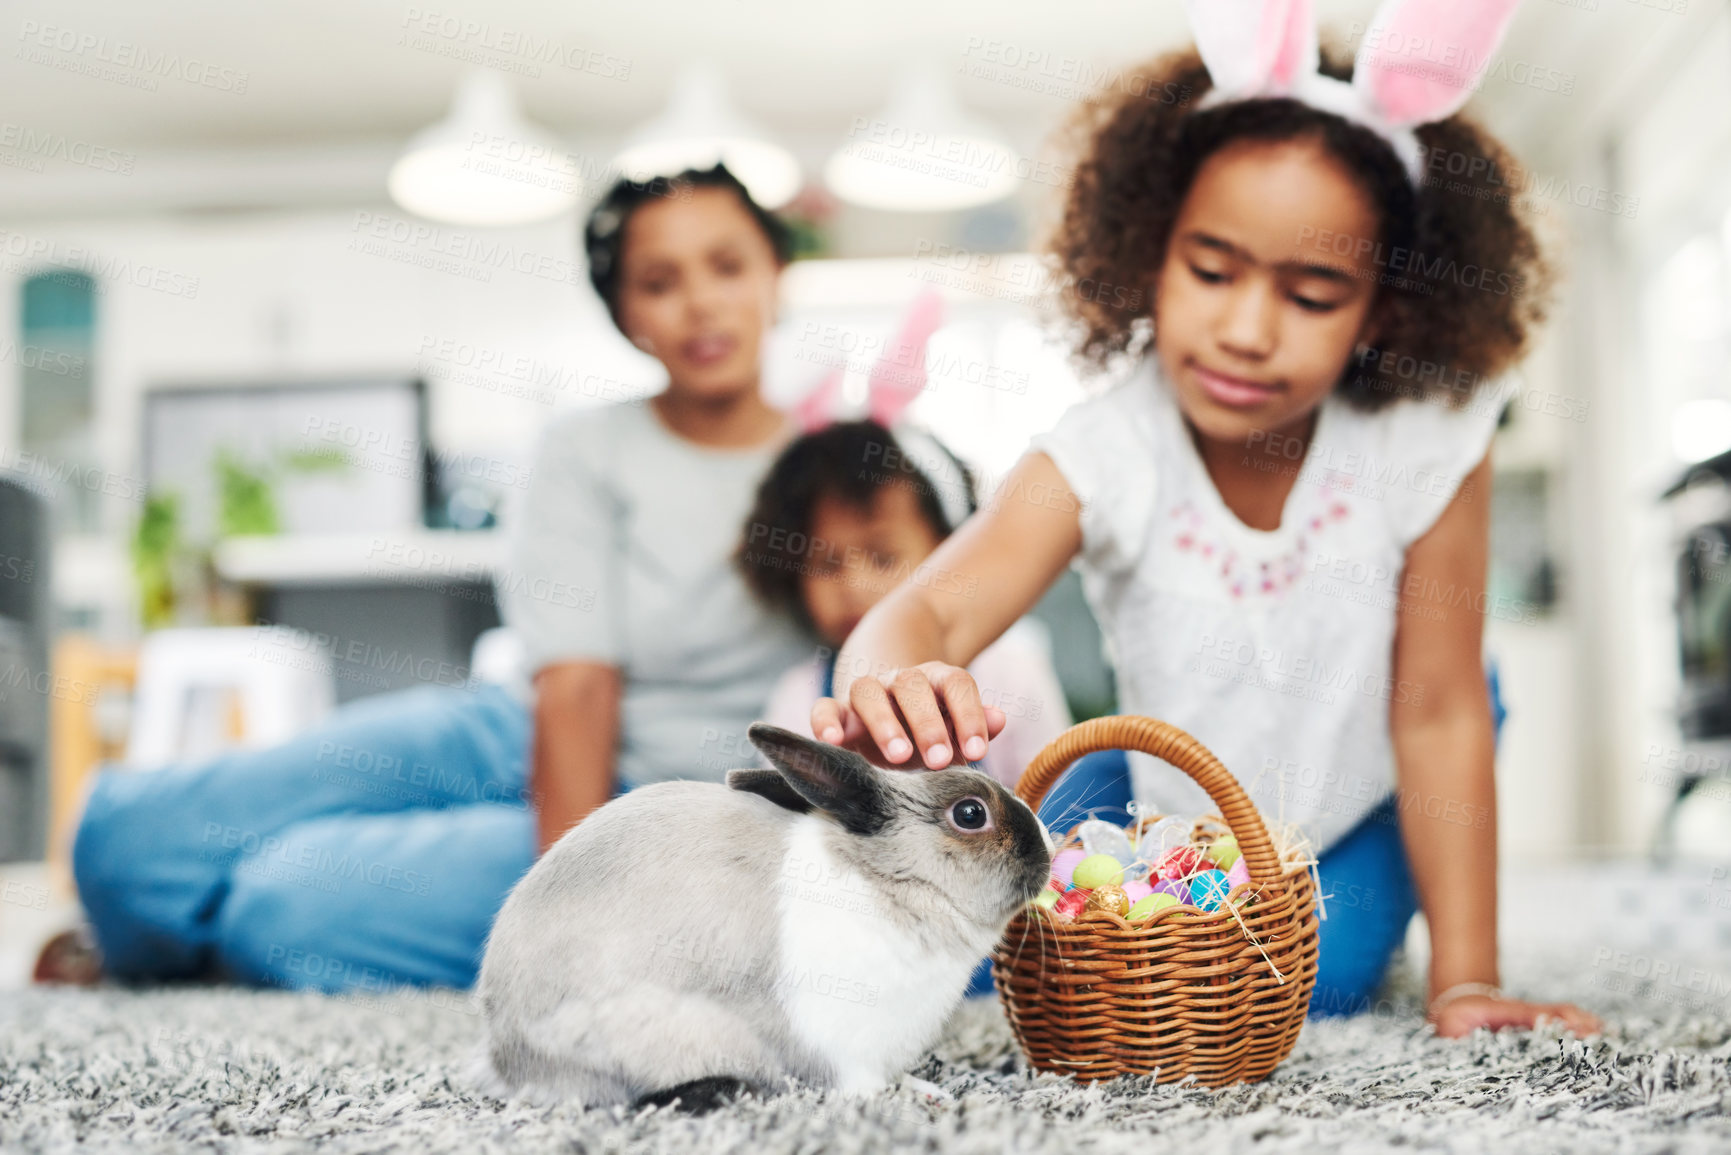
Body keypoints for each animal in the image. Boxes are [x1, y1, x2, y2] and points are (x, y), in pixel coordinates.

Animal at [467, 723, 1052, 1108]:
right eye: (970, 814)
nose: (1046, 849)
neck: (889, 882)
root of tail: (503, 1054)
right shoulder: (839, 1046)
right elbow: (860, 1084)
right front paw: (912, 1098)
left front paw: (926, 1089)